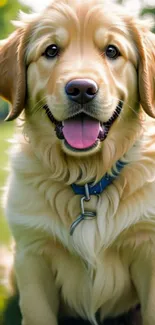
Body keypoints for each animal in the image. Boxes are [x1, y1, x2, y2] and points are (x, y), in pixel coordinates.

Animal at [0, 0, 155, 324]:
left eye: (112, 51)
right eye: (51, 50)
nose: (81, 89)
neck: (86, 180)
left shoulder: (148, 250)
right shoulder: (32, 258)